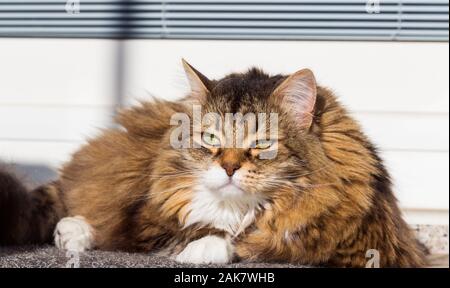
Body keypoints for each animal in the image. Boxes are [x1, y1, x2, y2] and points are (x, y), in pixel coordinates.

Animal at [0, 60, 428, 268]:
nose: (229, 168)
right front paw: (199, 244)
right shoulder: (156, 217)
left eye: (262, 144)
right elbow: (190, 229)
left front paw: (205, 249)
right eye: (210, 140)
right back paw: (72, 231)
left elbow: (254, 240)